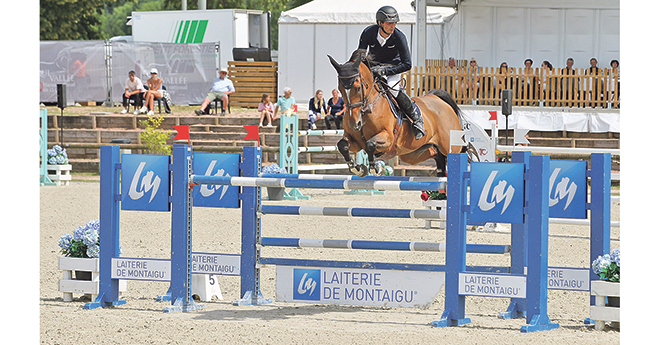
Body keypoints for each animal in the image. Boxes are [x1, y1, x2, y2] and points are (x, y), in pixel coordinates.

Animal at [328, 51, 464, 177]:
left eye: (357, 88)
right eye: (340, 89)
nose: (354, 124)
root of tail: (438, 99)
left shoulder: (388, 138)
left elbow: (370, 144)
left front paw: (377, 169)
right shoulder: (355, 142)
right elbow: (342, 145)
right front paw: (358, 168)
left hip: (450, 146)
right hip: (414, 153)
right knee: (437, 156)